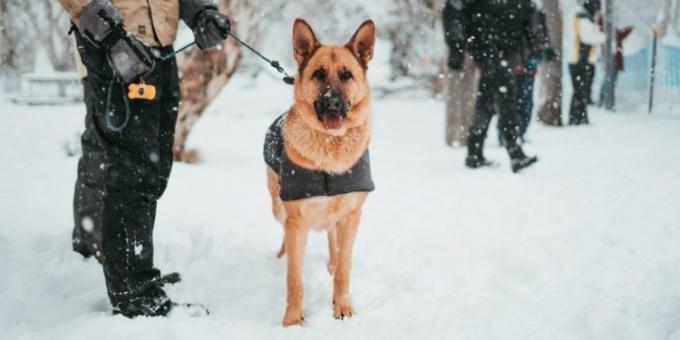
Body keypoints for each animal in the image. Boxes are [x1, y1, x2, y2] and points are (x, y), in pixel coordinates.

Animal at [262, 19, 378, 326]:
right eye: (318, 74)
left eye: (347, 75)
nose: (332, 103)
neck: (330, 147)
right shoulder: (296, 222)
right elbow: (294, 279)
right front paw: (292, 321)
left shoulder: (351, 216)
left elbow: (344, 268)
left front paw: (342, 307)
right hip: (278, 208)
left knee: (332, 240)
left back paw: (331, 263)